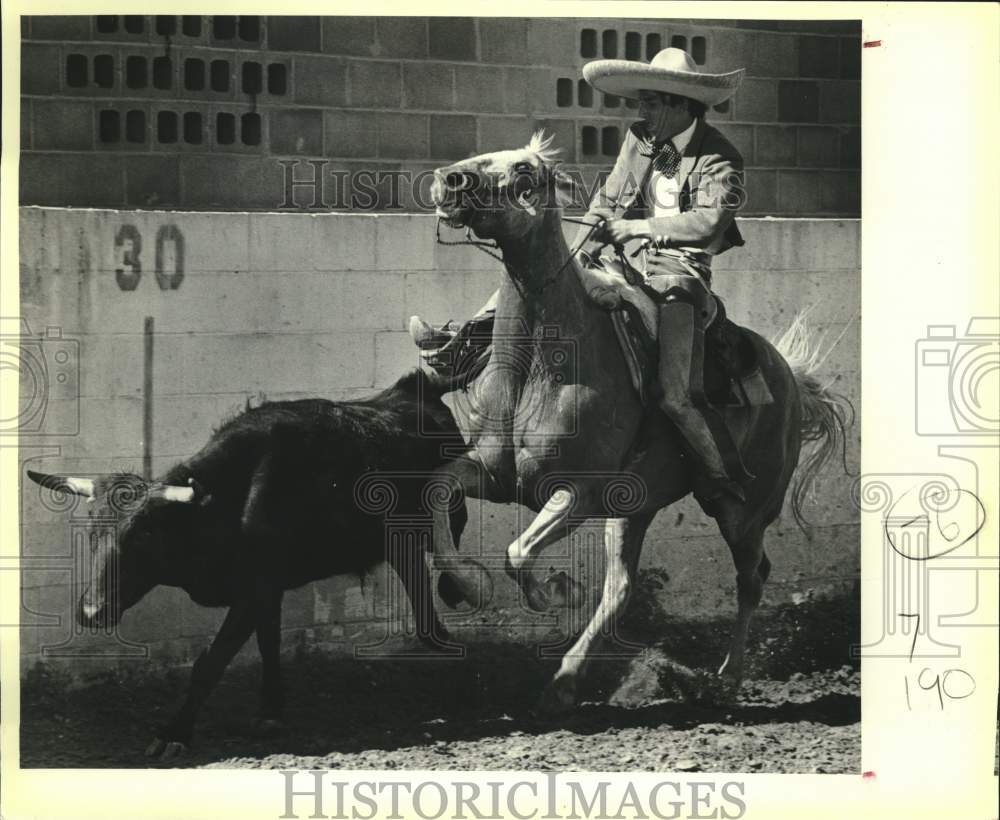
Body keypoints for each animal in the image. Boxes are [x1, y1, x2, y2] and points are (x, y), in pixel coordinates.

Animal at [430, 133, 852, 712]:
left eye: (524, 171)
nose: (449, 180)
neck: (541, 365)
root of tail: (790, 377)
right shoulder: (493, 474)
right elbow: (437, 492)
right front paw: (467, 586)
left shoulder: (578, 492)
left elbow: (518, 553)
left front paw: (554, 592)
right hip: (636, 507)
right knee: (621, 588)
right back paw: (566, 680)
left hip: (741, 511)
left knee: (752, 578)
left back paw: (726, 678)